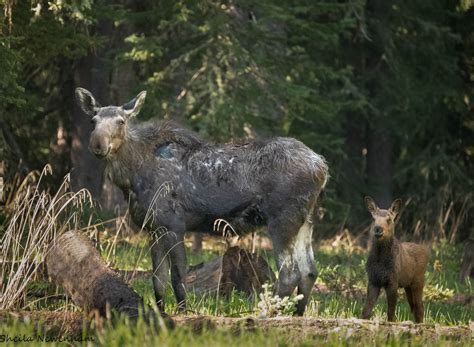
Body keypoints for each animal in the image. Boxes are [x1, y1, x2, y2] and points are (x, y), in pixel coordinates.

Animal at [76, 88, 328, 316]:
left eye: (121, 121)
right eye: (93, 121)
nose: (98, 145)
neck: (131, 176)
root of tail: (322, 166)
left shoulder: (174, 225)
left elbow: (178, 276)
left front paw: (184, 312)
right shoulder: (152, 229)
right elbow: (158, 279)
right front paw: (161, 313)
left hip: (282, 219)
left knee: (290, 273)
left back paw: (265, 314)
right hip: (305, 220)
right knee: (309, 271)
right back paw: (296, 315)